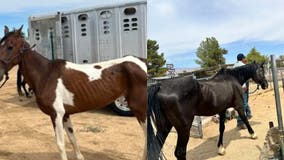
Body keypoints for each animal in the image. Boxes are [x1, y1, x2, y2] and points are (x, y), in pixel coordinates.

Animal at [0, 25, 146, 159]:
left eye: (10, 47)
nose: (0, 73)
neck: (46, 75)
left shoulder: (56, 114)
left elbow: (60, 144)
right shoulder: (65, 115)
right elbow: (72, 138)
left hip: (139, 108)